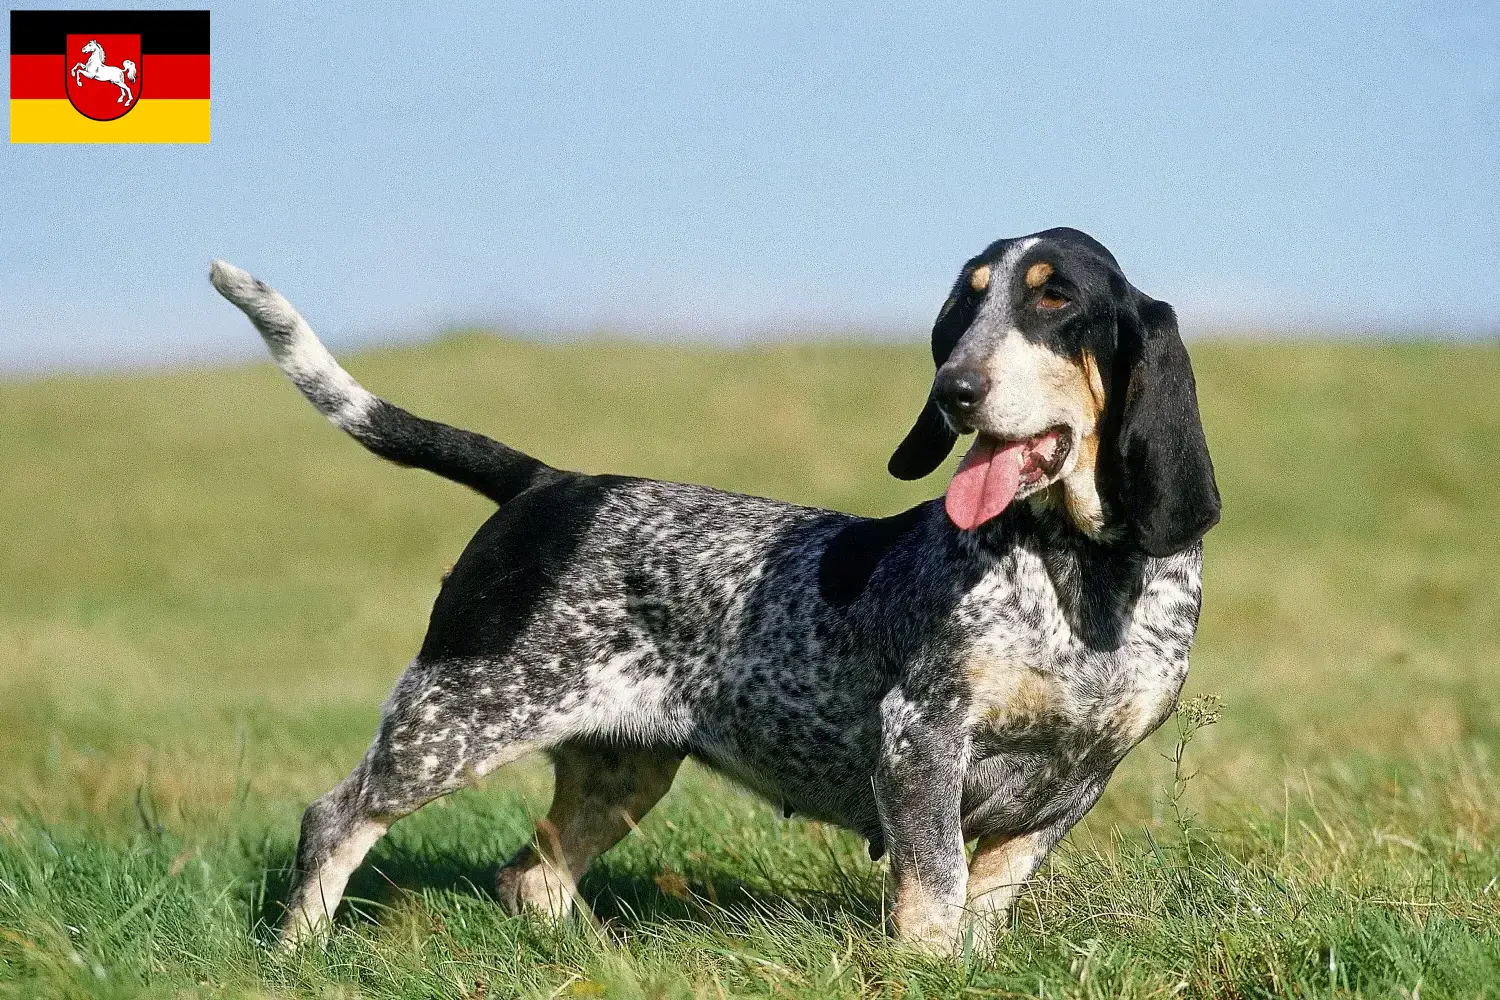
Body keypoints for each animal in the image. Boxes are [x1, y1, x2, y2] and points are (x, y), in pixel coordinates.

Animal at [211, 226, 1218, 953]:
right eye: (962, 310)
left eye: (1054, 298)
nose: (953, 388)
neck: (1079, 572)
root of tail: (549, 483)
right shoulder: (921, 739)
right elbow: (935, 892)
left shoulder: (1074, 782)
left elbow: (984, 903)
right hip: (452, 723)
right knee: (334, 820)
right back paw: (298, 954)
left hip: (622, 766)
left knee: (532, 875)